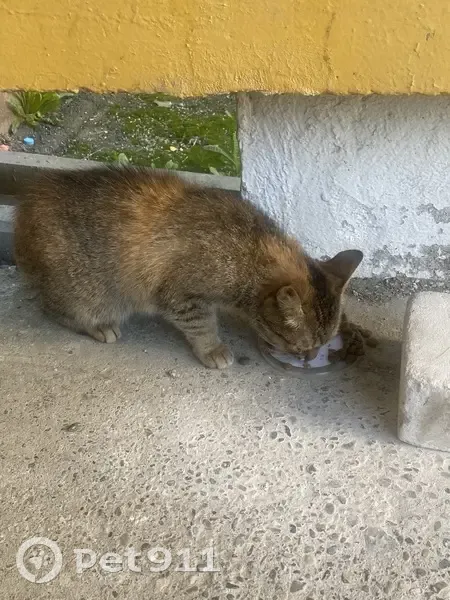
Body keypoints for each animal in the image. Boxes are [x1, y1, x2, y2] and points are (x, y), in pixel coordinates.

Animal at [14, 166, 366, 369]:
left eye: (321, 344)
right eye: (299, 346)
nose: (310, 359)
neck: (251, 250)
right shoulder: (182, 297)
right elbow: (202, 325)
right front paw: (212, 348)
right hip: (89, 294)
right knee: (54, 308)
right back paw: (96, 325)